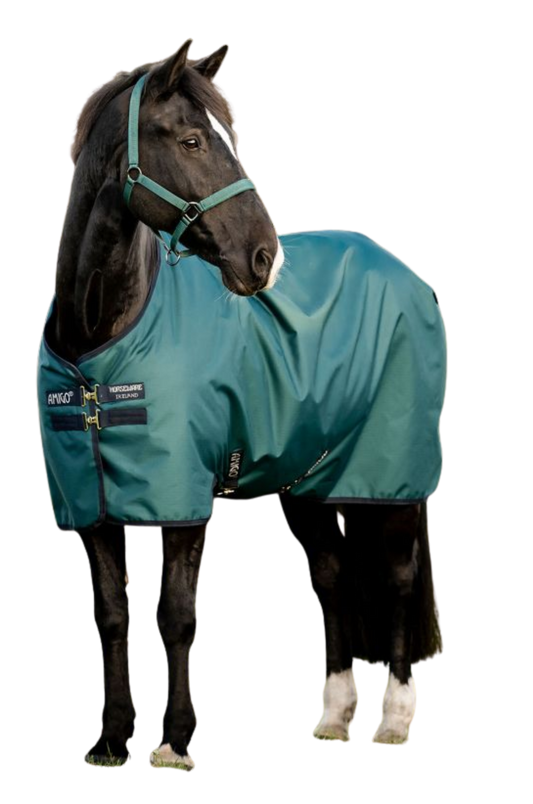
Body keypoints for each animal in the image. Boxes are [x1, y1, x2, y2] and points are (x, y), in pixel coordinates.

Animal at [34, 37, 448, 771]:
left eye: (234, 137)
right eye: (192, 139)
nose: (263, 259)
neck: (100, 343)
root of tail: (402, 270)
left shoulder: (186, 498)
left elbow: (175, 615)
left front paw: (173, 742)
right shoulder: (89, 504)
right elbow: (112, 616)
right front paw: (110, 740)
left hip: (392, 475)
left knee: (398, 579)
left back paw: (394, 719)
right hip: (310, 479)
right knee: (332, 578)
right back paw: (333, 717)